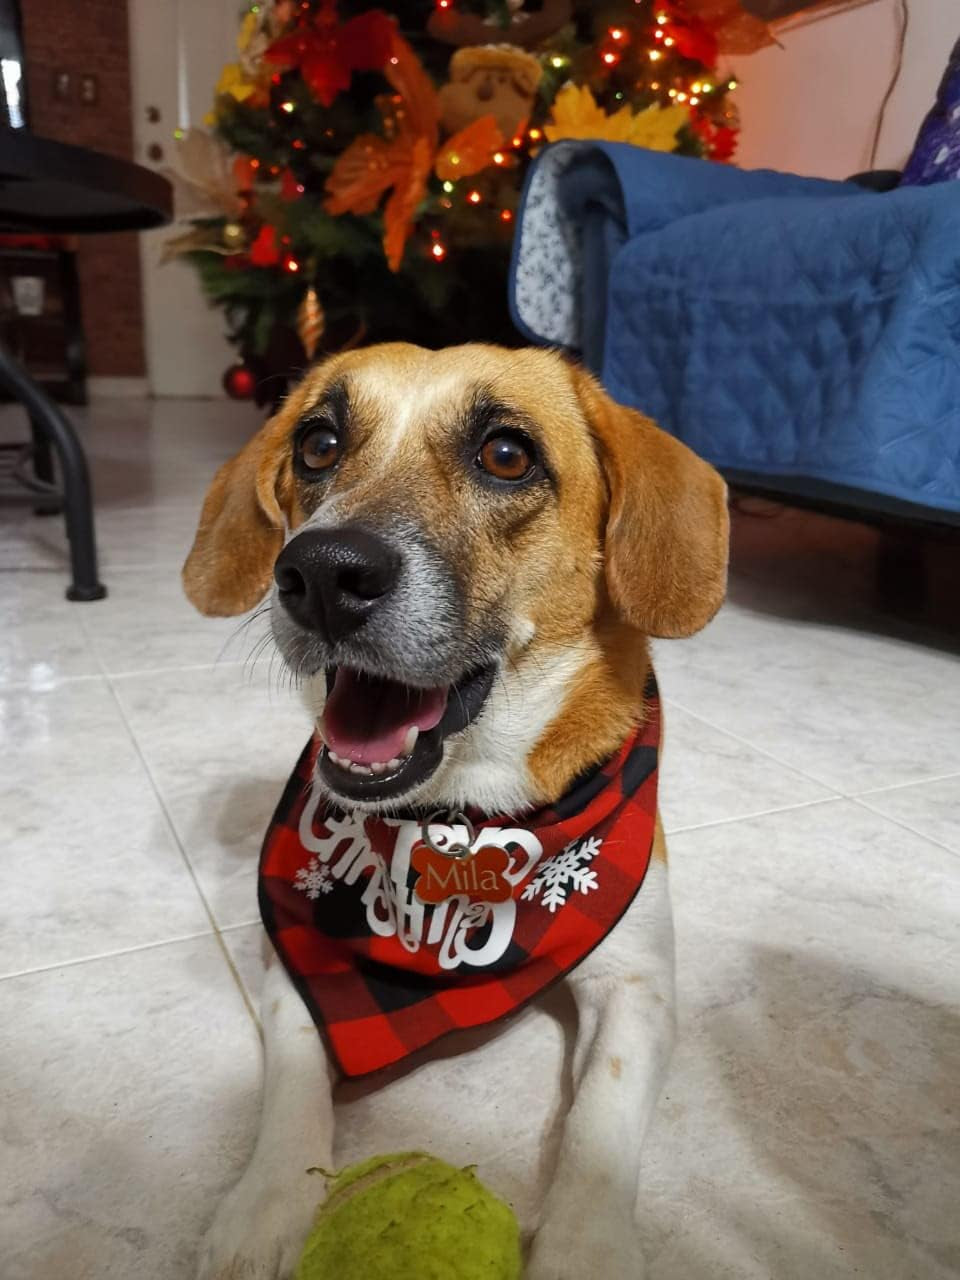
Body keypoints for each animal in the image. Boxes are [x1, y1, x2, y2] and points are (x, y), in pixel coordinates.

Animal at [181, 343, 727, 1280]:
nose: (321, 574)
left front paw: (586, 1246)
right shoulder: (296, 957)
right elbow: (292, 1078)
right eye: (318, 444)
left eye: (506, 454)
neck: (459, 822)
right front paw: (268, 1203)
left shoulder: (640, 985)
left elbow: (602, 1115)